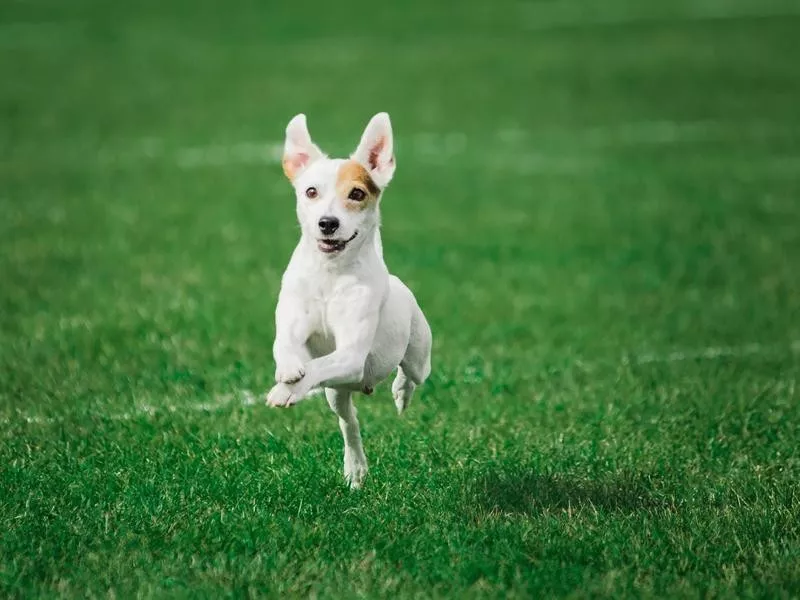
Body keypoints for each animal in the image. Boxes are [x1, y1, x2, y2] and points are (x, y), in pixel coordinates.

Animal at [268, 111, 432, 488]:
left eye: (357, 193)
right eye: (311, 191)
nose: (328, 223)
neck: (330, 275)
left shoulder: (351, 353)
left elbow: (316, 366)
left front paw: (286, 391)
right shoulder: (293, 320)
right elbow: (287, 347)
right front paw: (288, 371)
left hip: (418, 352)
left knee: (412, 374)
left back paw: (400, 393)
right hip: (336, 392)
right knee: (349, 422)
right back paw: (355, 468)